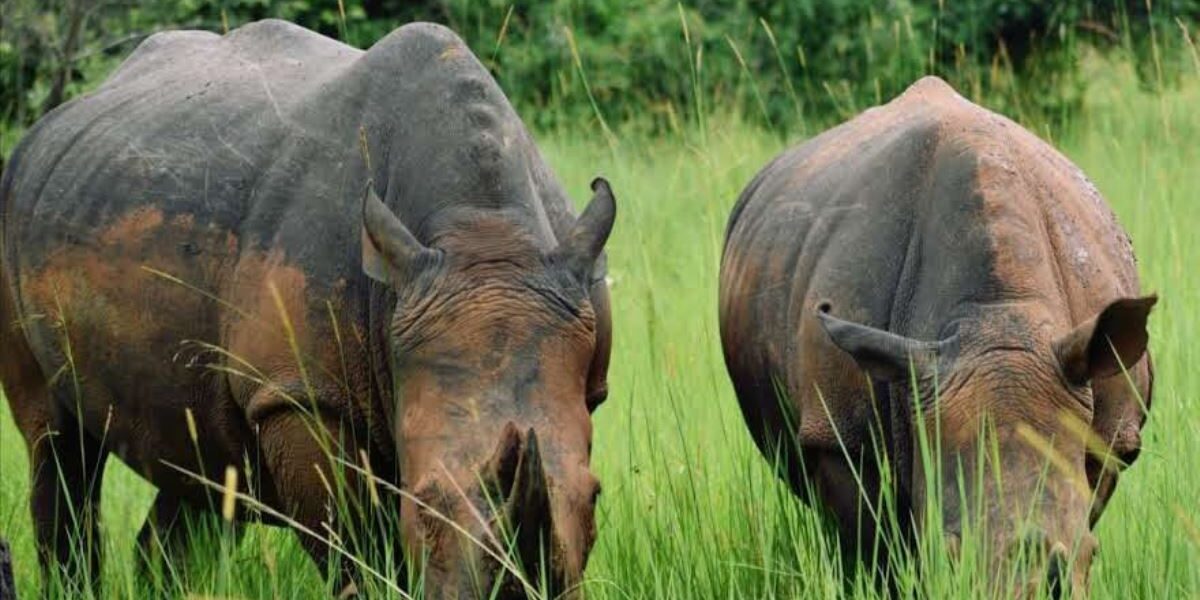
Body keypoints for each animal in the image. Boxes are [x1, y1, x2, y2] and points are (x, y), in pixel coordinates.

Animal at [0, 20, 614, 598]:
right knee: (56, 445)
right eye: (421, 502)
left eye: (595, 496)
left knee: (203, 462)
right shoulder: (299, 394)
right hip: (17, 205)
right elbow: (357, 551)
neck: (484, 236)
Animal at [719, 77, 1154, 596]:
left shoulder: (1109, 431)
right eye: (949, 554)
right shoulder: (840, 435)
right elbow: (877, 556)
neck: (996, 318)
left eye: (1092, 555)